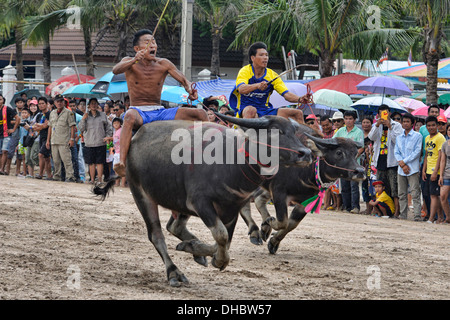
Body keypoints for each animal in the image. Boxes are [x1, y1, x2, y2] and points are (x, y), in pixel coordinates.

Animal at [94, 115, 312, 288]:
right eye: (278, 131)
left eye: (295, 131)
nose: (306, 153)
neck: (232, 162)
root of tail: (135, 139)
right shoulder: (201, 204)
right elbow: (221, 236)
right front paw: (214, 258)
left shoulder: (231, 209)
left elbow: (224, 241)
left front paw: (197, 250)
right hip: (141, 195)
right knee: (156, 235)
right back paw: (174, 272)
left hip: (180, 203)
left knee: (174, 226)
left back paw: (194, 249)